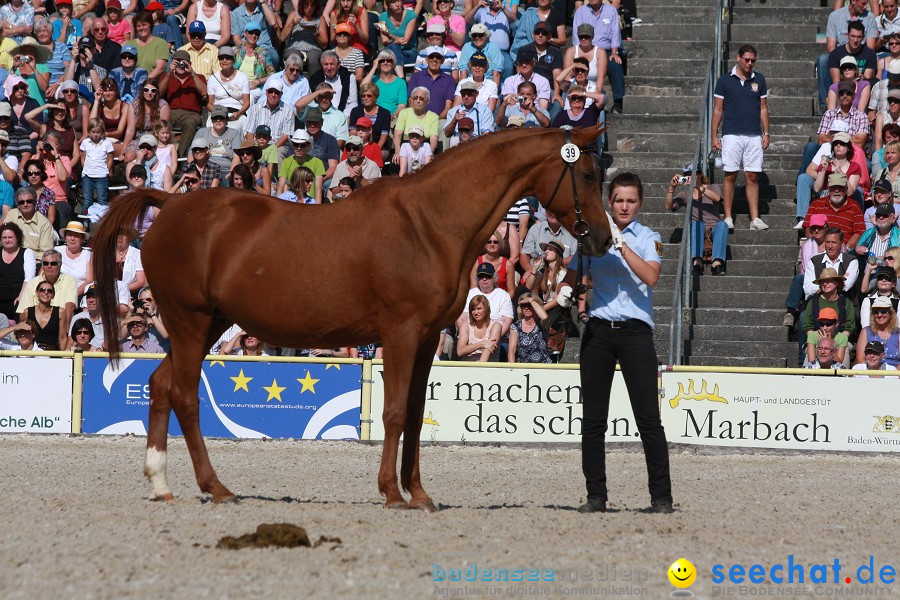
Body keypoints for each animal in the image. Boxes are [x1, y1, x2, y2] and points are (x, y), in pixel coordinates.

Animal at [91, 124, 608, 512]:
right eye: (586, 173)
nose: (603, 239)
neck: (430, 223)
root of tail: (171, 203)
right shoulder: (401, 333)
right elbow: (394, 412)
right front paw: (393, 494)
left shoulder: (426, 339)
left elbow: (415, 415)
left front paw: (418, 493)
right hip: (191, 321)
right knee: (183, 395)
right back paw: (216, 488)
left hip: (203, 324)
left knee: (161, 386)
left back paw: (161, 483)